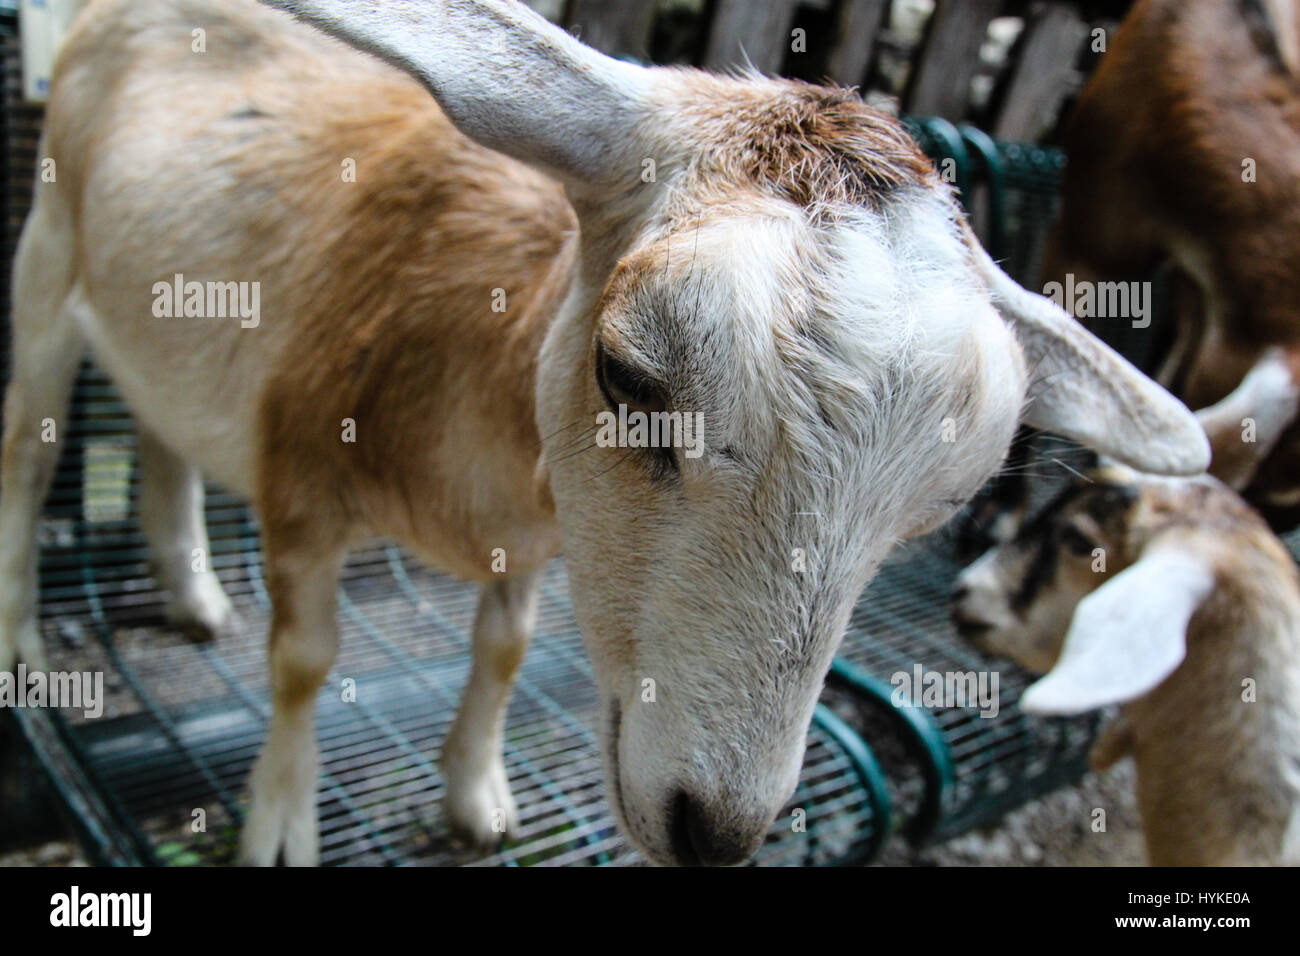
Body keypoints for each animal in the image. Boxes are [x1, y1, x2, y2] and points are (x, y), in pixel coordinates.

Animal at [0, 0, 1201, 868]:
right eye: (628, 370)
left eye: (947, 501)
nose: (712, 831)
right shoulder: (300, 469)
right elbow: (305, 661)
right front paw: (282, 825)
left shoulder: (533, 539)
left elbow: (504, 646)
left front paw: (477, 795)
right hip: (47, 257)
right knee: (30, 450)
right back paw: (23, 645)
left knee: (159, 424)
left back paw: (194, 588)